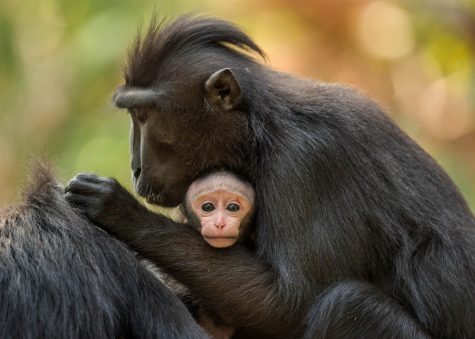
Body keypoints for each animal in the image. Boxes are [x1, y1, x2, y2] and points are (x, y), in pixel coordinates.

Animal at [66, 14, 475, 338]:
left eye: (144, 116)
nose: (135, 167)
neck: (258, 128)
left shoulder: (309, 162)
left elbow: (287, 304)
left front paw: (119, 210)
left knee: (346, 304)